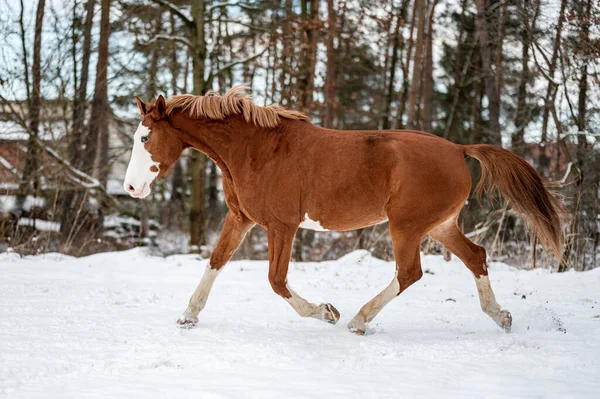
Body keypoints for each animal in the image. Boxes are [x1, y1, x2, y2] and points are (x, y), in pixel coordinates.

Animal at [124, 86, 564, 336]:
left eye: (146, 137)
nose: (131, 187)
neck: (253, 149)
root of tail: (458, 149)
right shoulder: (241, 219)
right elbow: (215, 261)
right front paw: (188, 316)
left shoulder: (282, 226)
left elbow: (277, 281)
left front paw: (326, 312)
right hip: (439, 225)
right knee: (476, 256)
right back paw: (501, 316)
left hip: (407, 226)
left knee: (410, 273)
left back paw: (357, 320)